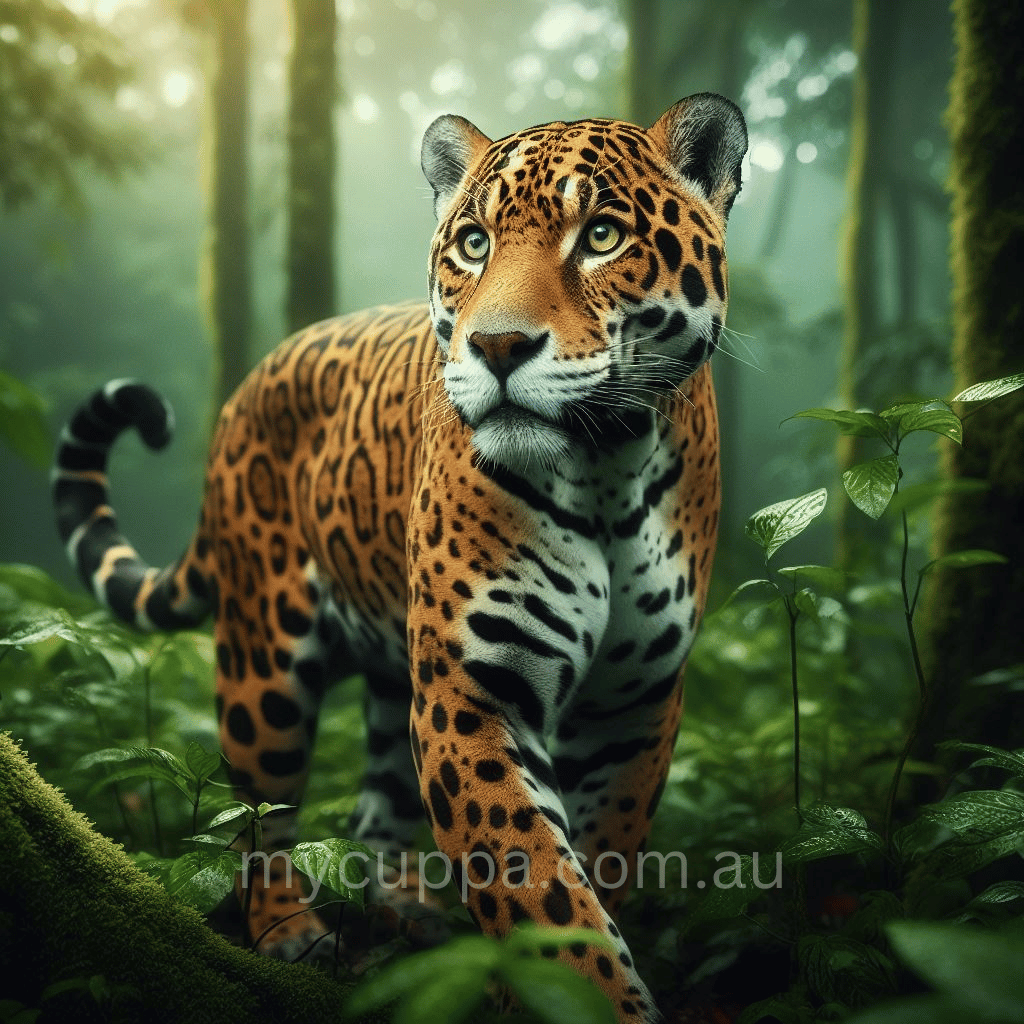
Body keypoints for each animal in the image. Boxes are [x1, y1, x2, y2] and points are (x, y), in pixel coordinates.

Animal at [53, 92, 747, 1022]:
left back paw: (405, 911)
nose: (497, 348)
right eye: (474, 243)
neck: (604, 468)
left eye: (601, 235)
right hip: (265, 669)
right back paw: (292, 935)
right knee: (258, 817)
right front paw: (581, 991)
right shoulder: (472, 691)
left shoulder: (635, 705)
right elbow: (538, 887)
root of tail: (249, 383)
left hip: (392, 673)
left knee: (375, 806)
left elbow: (595, 865)